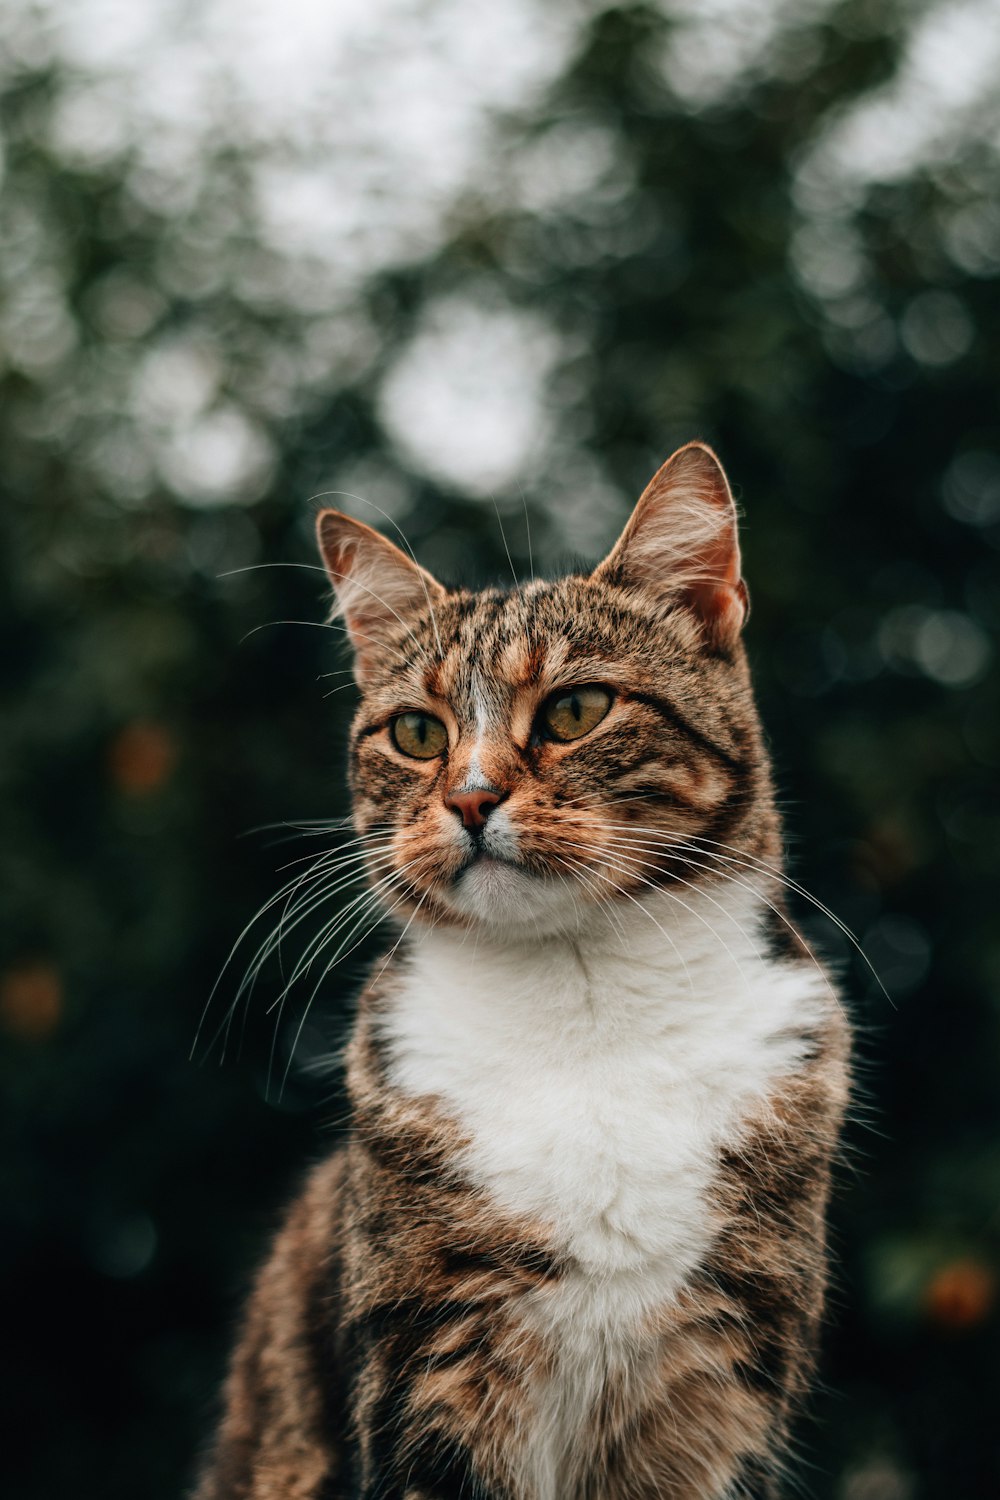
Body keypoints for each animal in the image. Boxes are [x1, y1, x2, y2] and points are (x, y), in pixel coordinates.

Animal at [194, 441, 851, 1500]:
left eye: (575, 709)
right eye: (417, 732)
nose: (470, 798)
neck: (584, 1007)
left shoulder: (720, 1375)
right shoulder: (433, 1359)